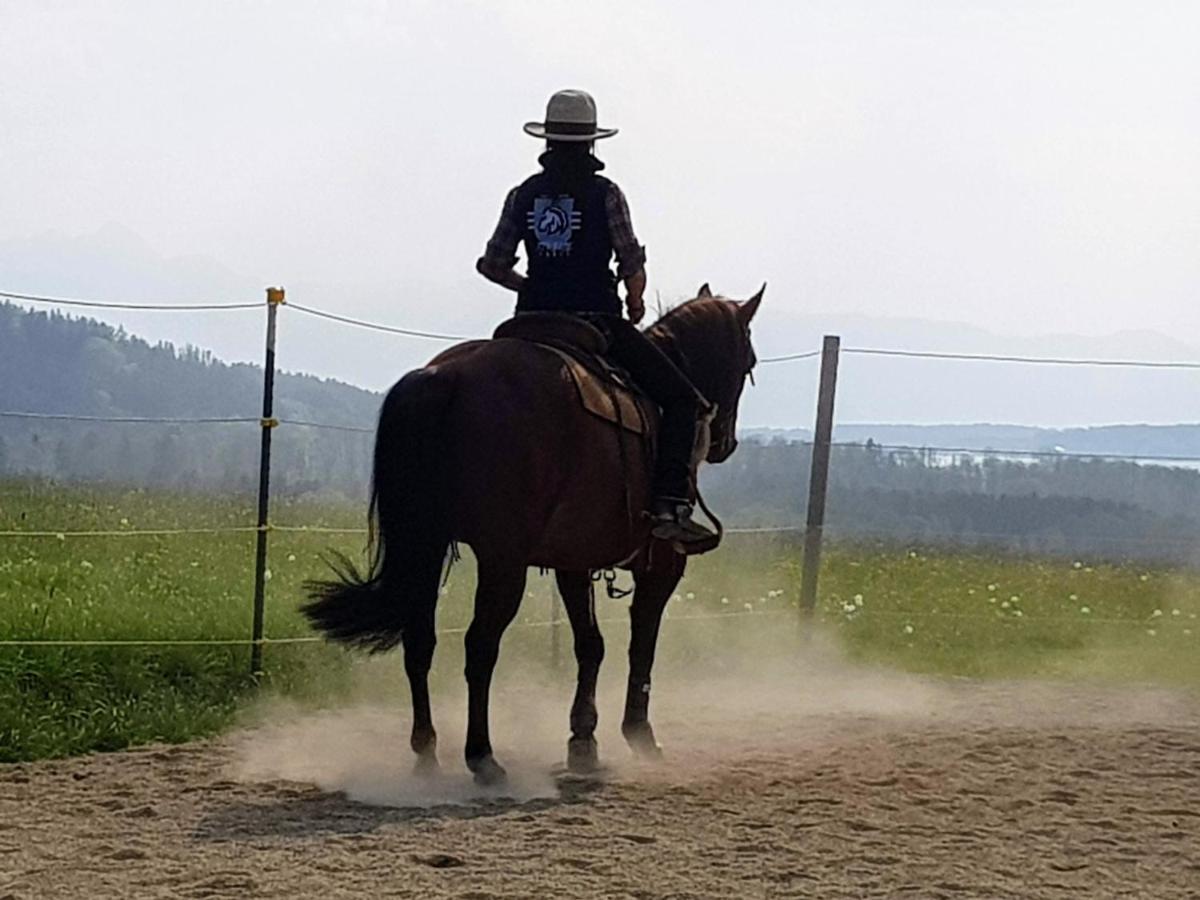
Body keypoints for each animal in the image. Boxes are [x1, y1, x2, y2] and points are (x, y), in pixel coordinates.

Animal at [304, 285, 763, 787]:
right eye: (749, 360)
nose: (725, 444)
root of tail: (443, 378)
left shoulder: (574, 562)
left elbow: (590, 646)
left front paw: (583, 740)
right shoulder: (662, 564)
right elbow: (642, 644)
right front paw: (639, 734)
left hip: (426, 544)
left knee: (420, 641)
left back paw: (427, 754)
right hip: (502, 560)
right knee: (480, 646)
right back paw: (482, 756)